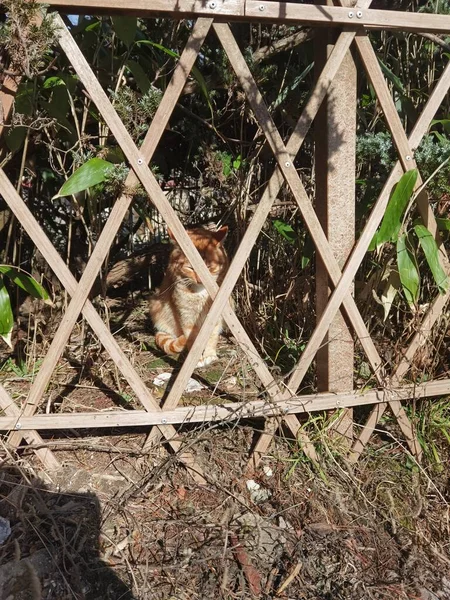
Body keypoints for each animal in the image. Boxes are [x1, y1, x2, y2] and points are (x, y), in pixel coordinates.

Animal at [150, 225, 230, 366]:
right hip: (156, 307)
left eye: (208, 267)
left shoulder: (216, 315)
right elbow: (192, 339)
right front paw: (197, 359)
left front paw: (210, 355)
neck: (200, 292)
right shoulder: (186, 317)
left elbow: (212, 336)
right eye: (190, 268)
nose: (200, 279)